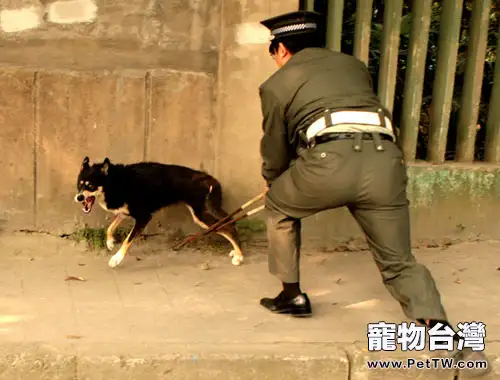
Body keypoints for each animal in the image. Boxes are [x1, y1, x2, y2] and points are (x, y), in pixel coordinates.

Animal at [74, 156, 244, 268]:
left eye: (90, 186)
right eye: (80, 184)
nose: (79, 197)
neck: (114, 182)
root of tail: (210, 180)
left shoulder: (143, 217)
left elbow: (127, 240)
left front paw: (116, 258)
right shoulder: (124, 212)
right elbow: (110, 227)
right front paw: (109, 242)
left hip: (200, 215)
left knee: (228, 227)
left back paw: (240, 256)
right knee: (229, 223)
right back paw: (235, 252)